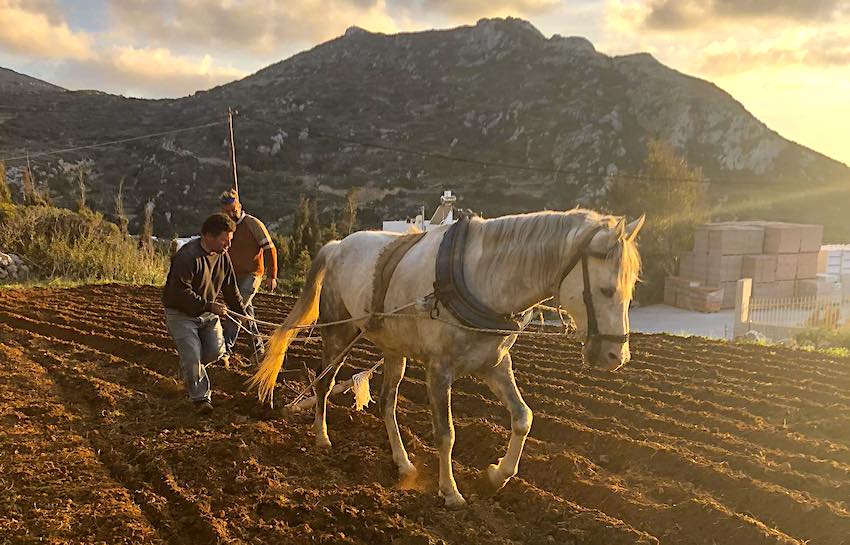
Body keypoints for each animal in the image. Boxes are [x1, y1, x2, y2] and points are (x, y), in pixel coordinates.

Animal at [248, 208, 640, 506]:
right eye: (606, 289)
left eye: (632, 288)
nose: (615, 356)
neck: (483, 279)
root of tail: (337, 245)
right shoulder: (439, 369)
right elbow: (445, 433)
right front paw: (450, 492)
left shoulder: (494, 365)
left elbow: (523, 418)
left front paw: (497, 475)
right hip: (339, 333)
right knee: (324, 382)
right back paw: (322, 437)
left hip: (394, 349)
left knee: (387, 402)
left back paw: (404, 463)